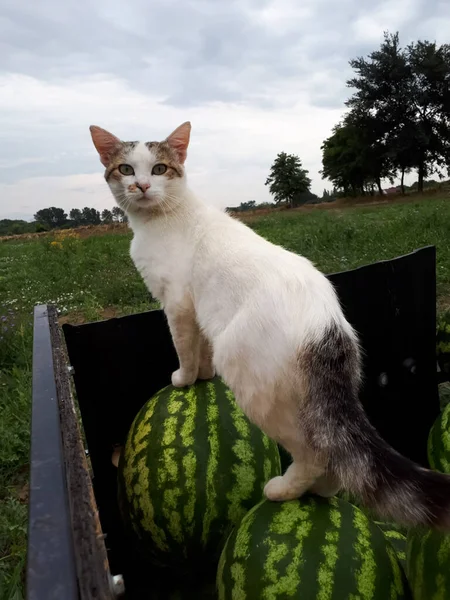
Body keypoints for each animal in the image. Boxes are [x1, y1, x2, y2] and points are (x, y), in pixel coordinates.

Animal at [90, 122, 450, 528]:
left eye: (159, 169)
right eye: (126, 169)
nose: (141, 186)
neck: (160, 219)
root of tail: (327, 326)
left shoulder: (177, 304)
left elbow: (185, 346)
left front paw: (185, 378)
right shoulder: (199, 308)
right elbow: (201, 347)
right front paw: (203, 375)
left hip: (254, 387)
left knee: (315, 454)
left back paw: (284, 490)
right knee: (334, 456)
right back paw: (322, 492)